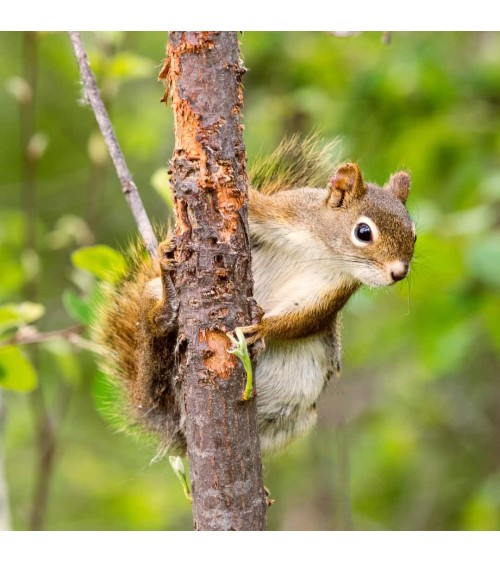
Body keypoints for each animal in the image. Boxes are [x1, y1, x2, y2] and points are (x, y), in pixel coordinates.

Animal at [93, 137, 414, 458]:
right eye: (363, 232)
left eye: (413, 234)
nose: (398, 273)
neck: (322, 249)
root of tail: (177, 428)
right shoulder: (282, 212)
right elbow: (253, 202)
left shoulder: (332, 290)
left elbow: (304, 318)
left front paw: (261, 328)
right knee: (153, 328)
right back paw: (166, 301)